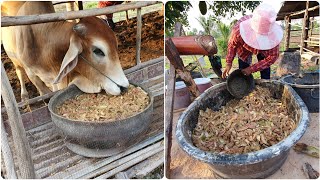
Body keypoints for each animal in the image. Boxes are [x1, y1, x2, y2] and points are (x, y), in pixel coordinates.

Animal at [1, 1, 129, 102]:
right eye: (98, 51)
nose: (124, 87)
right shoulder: (32, 74)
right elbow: (45, 94)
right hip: (15, 61)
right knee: (19, 73)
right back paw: (24, 96)